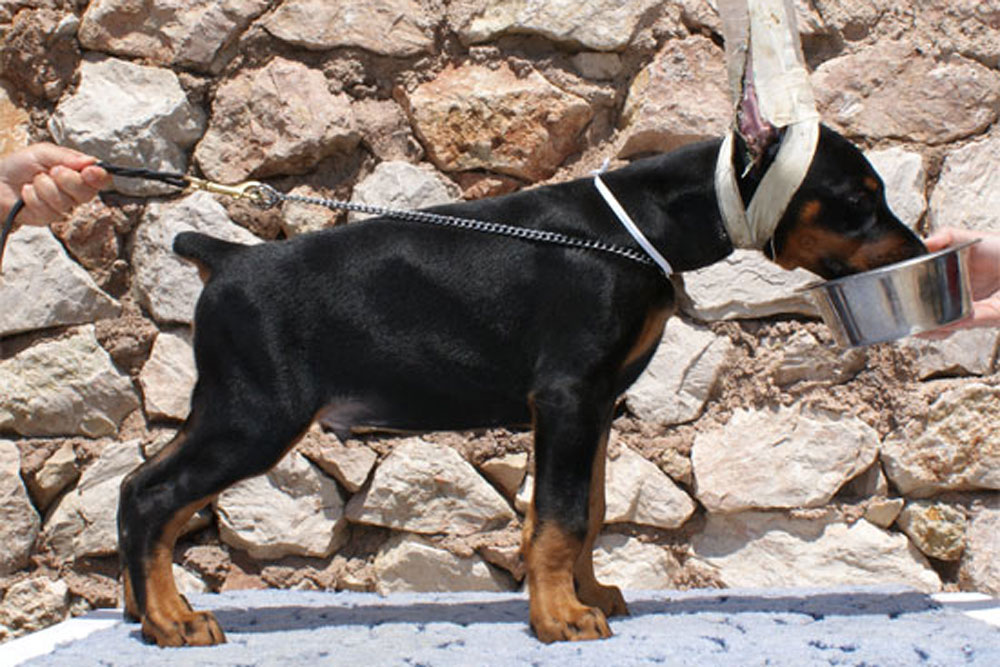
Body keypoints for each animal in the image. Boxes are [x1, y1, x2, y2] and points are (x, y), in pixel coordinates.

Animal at [116, 121, 927, 647]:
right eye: (859, 198)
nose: (920, 249)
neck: (641, 226)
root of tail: (226, 257)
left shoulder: (597, 403)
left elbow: (588, 511)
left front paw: (589, 594)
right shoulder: (568, 395)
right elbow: (560, 518)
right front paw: (559, 618)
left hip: (228, 408)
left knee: (135, 488)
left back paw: (140, 610)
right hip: (258, 413)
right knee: (156, 496)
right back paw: (172, 620)